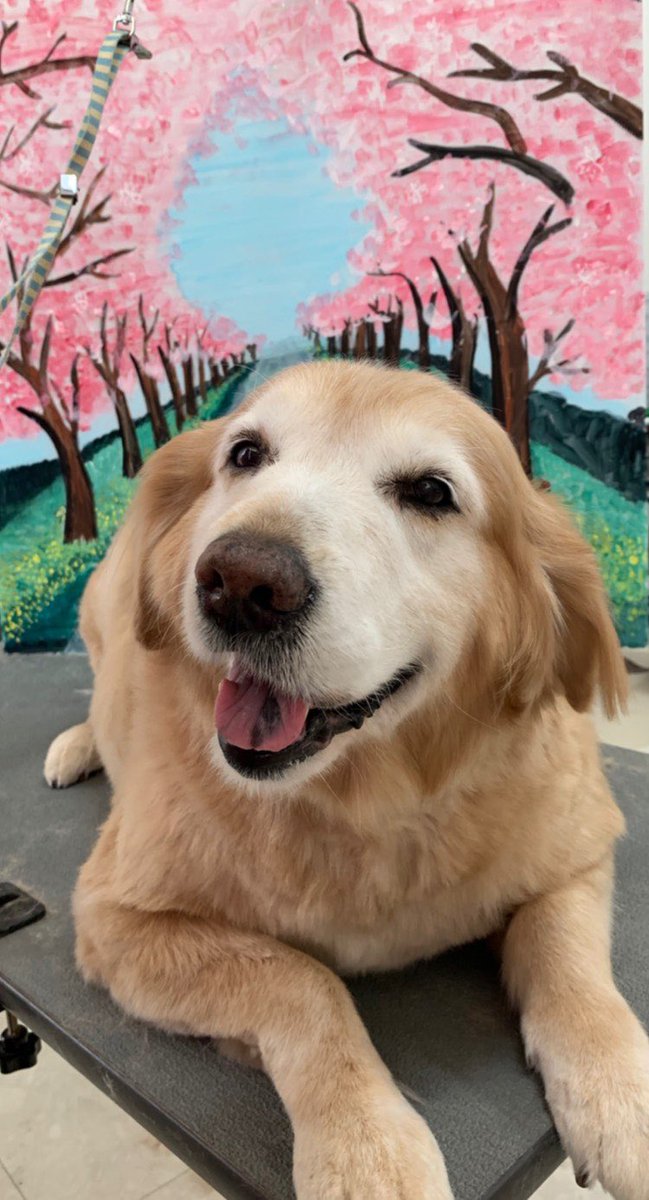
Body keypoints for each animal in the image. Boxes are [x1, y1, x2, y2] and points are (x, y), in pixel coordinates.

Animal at [45, 361, 649, 1199]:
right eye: (245, 454)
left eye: (430, 492)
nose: (240, 583)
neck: (364, 800)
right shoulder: (115, 920)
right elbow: (301, 980)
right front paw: (367, 1147)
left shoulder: (578, 852)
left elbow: (572, 971)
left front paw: (621, 1098)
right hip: (103, 607)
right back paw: (77, 746)